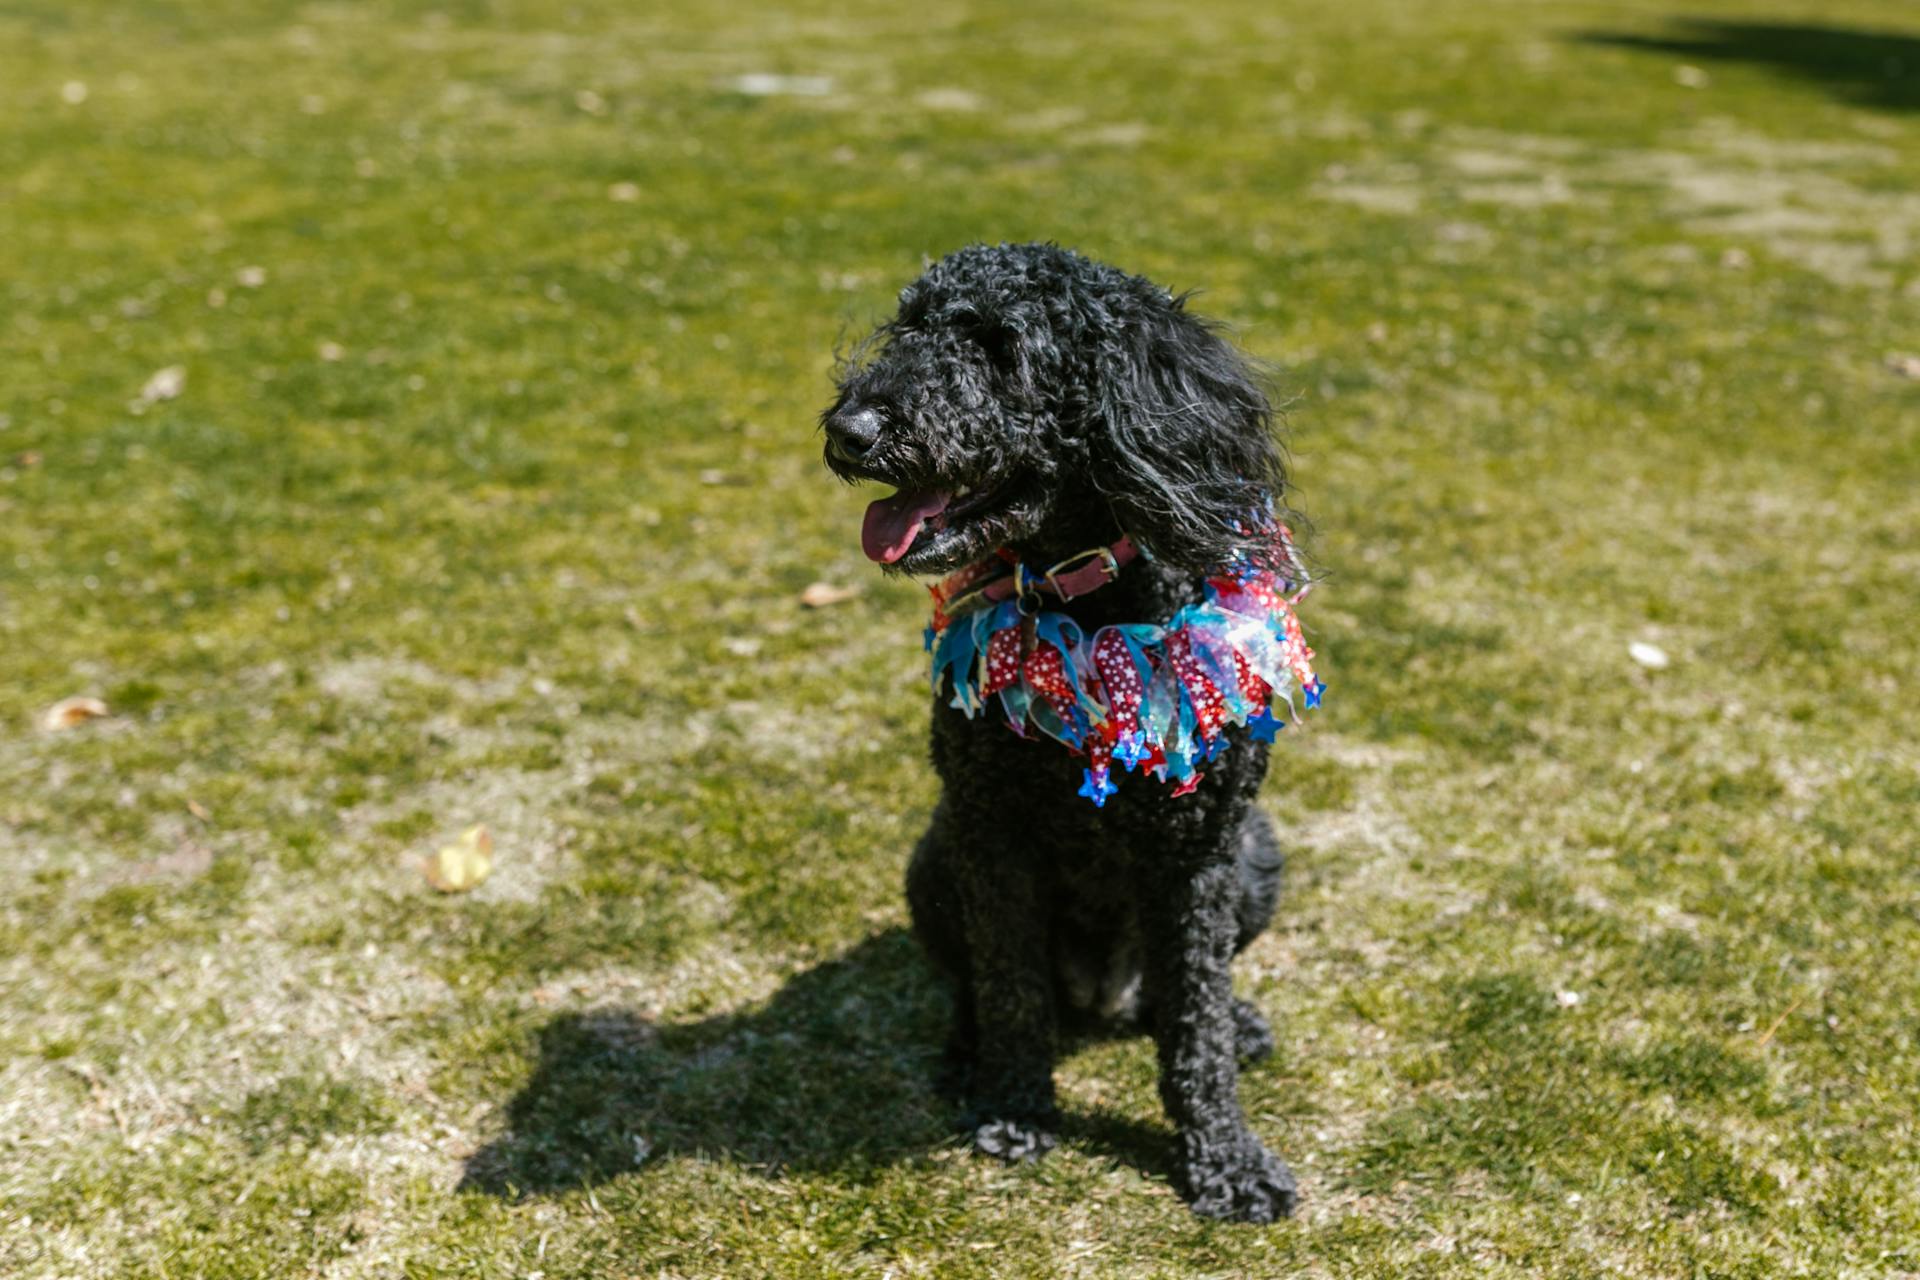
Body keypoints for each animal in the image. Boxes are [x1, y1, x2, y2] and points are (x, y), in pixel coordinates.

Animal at [825, 242, 1305, 1220]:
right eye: (910, 326)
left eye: (1001, 347)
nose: (849, 429)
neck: (1087, 603)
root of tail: (1098, 995)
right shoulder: (994, 836)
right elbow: (1010, 991)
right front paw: (1013, 1111)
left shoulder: (1196, 857)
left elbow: (1194, 1025)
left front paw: (1227, 1161)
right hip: (936, 862)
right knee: (980, 986)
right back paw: (969, 1057)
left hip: (1255, 858)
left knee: (1179, 998)